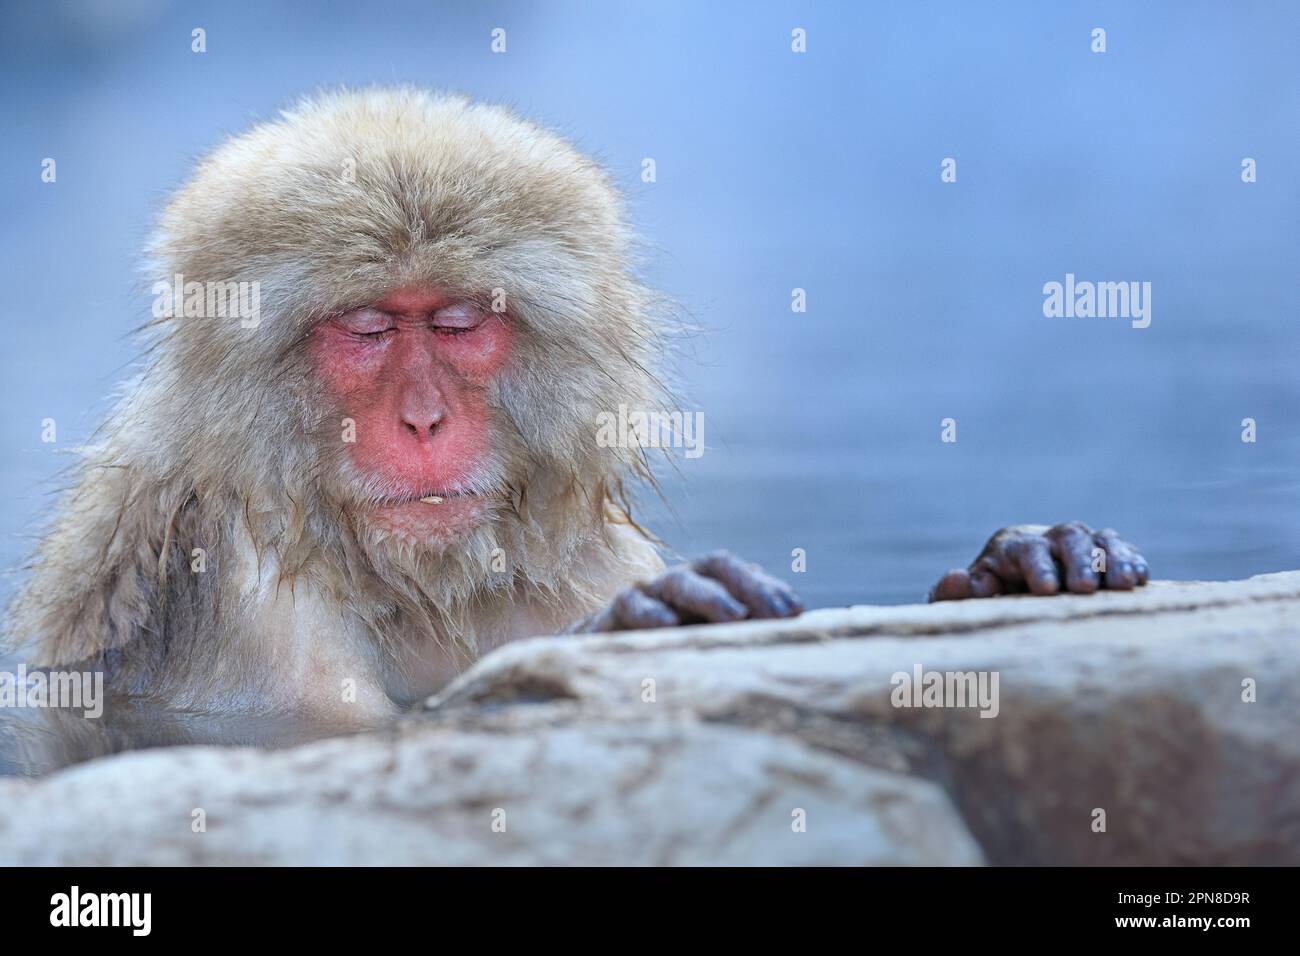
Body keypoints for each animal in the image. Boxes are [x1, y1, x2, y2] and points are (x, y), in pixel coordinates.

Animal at [7, 87, 1149, 717]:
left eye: (457, 321)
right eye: (368, 329)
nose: (423, 420)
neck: (406, 582)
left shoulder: (579, 550)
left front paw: (1008, 567)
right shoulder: (237, 575)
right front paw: (654, 615)